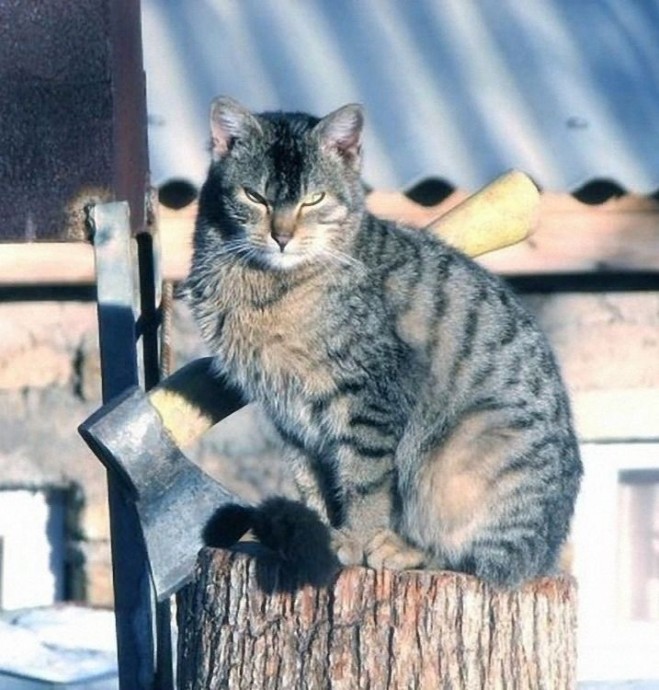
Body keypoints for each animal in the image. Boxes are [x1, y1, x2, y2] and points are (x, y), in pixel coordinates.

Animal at [186, 94, 584, 584]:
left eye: (313, 199)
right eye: (254, 196)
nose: (281, 236)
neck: (265, 286)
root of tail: (547, 553)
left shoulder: (367, 396)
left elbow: (364, 480)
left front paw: (354, 539)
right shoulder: (291, 418)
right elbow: (313, 482)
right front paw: (319, 532)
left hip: (465, 453)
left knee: (481, 559)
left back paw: (404, 548)